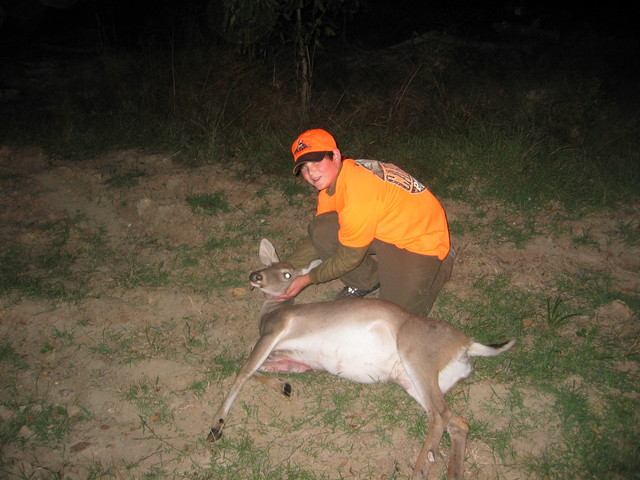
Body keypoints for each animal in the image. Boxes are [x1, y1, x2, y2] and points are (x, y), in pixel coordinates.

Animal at [207, 239, 515, 480]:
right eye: (269, 266)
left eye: (286, 274)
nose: (255, 275)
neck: (271, 313)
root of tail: (467, 344)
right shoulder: (297, 361)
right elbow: (252, 370)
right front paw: (284, 386)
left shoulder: (273, 332)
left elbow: (243, 371)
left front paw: (216, 426)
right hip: (412, 379)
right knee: (457, 420)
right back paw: (451, 471)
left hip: (416, 354)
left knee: (440, 414)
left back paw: (420, 469)